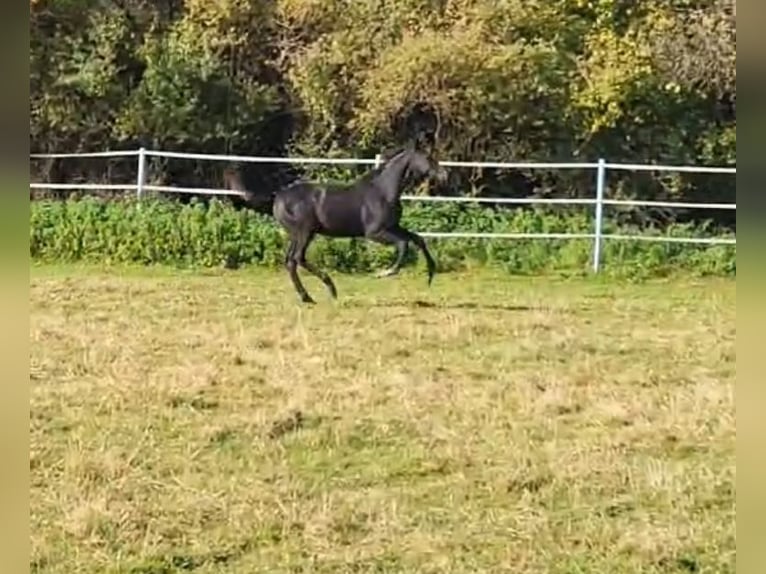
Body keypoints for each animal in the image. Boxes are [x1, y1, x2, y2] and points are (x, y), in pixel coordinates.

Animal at [225, 146, 448, 304]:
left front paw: (430, 274)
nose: (444, 175)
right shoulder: (375, 233)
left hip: (296, 234)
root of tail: (277, 195)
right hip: (305, 232)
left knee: (290, 261)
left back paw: (308, 297)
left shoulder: (393, 227)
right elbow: (403, 245)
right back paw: (329, 290)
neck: (383, 192)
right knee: (297, 258)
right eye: (428, 158)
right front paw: (384, 273)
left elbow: (418, 239)